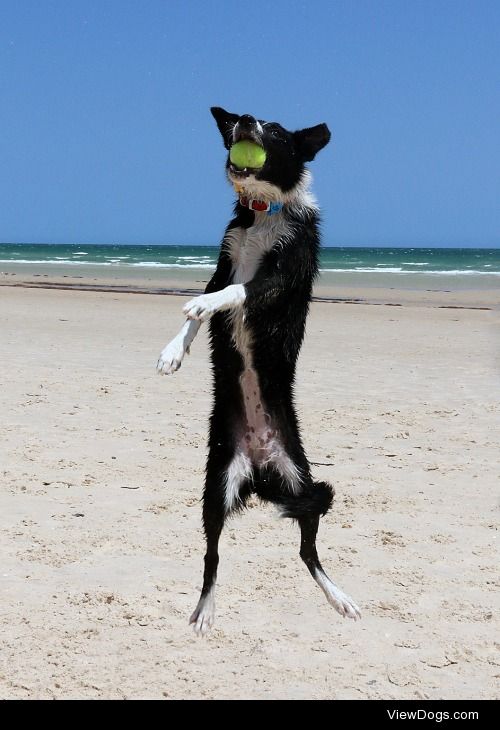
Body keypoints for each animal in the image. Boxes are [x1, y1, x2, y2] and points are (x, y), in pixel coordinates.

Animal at [156, 106, 360, 632]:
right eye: (249, 119)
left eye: (277, 132)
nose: (244, 119)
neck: (264, 209)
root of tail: (261, 466)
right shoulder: (225, 261)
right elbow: (202, 308)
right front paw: (173, 351)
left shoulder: (277, 275)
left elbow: (231, 294)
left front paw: (199, 309)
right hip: (215, 487)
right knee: (212, 557)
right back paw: (205, 610)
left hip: (303, 484)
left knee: (309, 552)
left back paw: (340, 597)